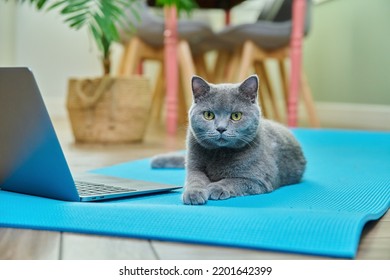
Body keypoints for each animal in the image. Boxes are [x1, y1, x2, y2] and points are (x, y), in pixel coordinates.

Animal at [151, 75, 306, 205]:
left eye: (236, 116)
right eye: (208, 115)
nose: (221, 128)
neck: (220, 154)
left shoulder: (260, 178)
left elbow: (234, 180)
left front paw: (216, 187)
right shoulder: (194, 166)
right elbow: (194, 179)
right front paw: (194, 193)